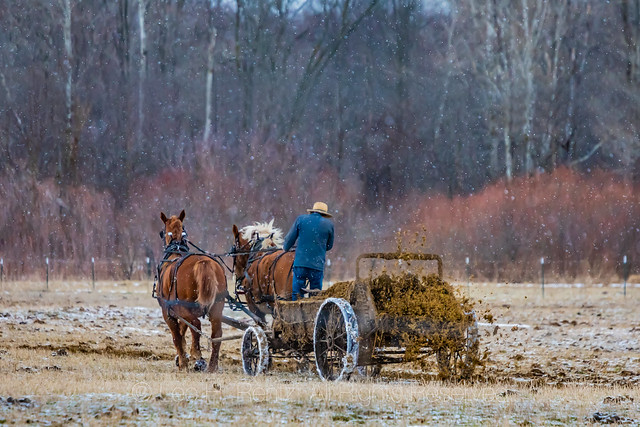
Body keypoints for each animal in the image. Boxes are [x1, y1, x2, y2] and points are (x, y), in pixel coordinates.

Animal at [156, 211, 229, 372]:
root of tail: (203, 261)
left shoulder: (168, 312)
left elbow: (177, 336)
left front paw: (183, 362)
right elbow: (183, 331)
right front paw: (182, 357)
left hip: (186, 307)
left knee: (196, 325)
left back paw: (198, 356)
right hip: (217, 306)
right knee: (216, 334)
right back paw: (212, 366)